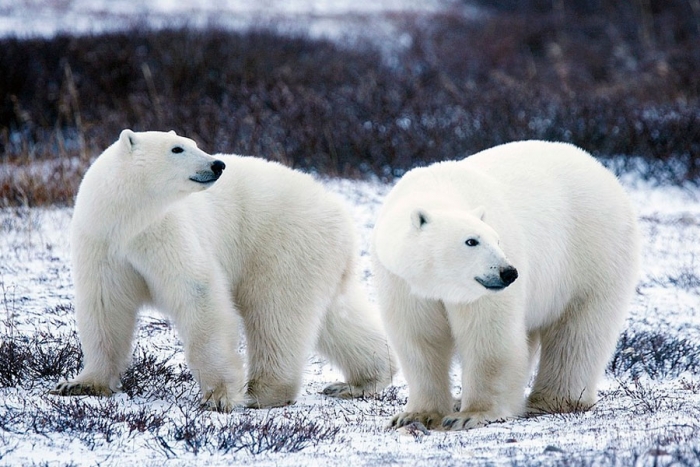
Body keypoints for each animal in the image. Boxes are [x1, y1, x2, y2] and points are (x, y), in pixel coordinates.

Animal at [50, 130, 394, 412]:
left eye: (193, 143)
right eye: (177, 148)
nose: (217, 165)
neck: (127, 219)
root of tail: (341, 213)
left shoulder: (165, 232)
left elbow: (198, 292)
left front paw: (219, 396)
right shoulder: (102, 242)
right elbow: (105, 306)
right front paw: (80, 384)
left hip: (284, 244)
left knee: (275, 313)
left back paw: (262, 393)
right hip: (318, 257)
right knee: (335, 317)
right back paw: (361, 381)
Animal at [372, 141, 640, 434]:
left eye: (497, 239)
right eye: (471, 241)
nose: (508, 272)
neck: (437, 188)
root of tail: (603, 171)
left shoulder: (482, 293)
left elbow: (489, 336)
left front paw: (470, 415)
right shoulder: (402, 282)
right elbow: (419, 339)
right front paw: (415, 415)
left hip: (593, 252)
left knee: (578, 331)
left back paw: (552, 400)